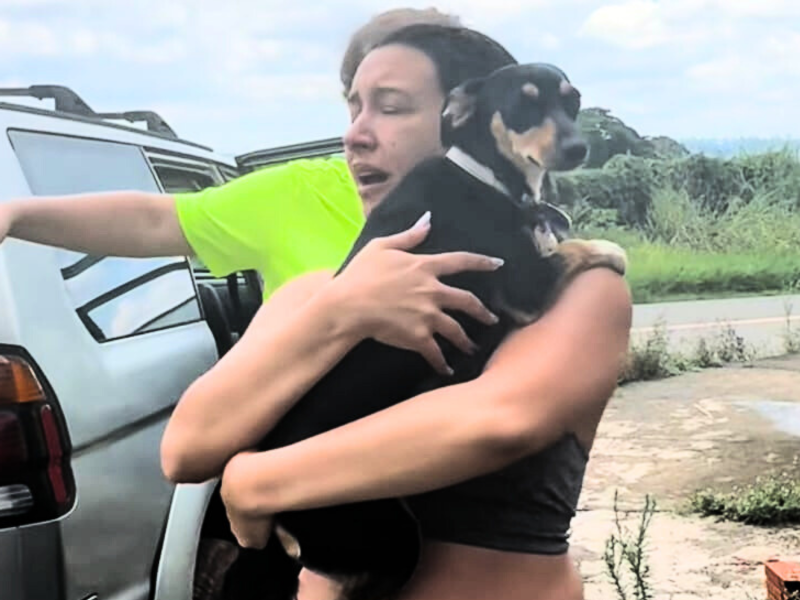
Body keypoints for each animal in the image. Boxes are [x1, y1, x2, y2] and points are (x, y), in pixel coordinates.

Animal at [247, 62, 628, 600]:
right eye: (523, 105)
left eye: (572, 102)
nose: (578, 148)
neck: (486, 176)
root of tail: (279, 520)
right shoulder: (522, 288)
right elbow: (578, 249)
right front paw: (611, 252)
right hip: (393, 543)